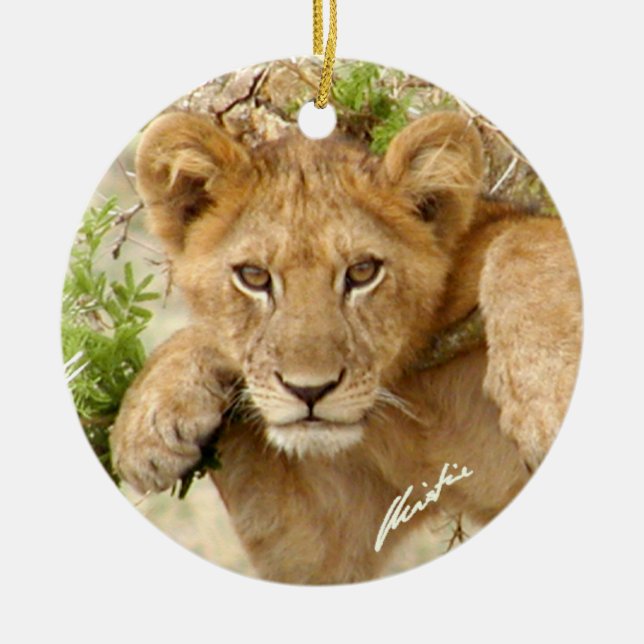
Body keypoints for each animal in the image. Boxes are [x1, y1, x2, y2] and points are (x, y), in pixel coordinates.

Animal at [110, 110, 582, 584]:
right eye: (254, 276)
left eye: (362, 271)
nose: (309, 391)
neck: (415, 399)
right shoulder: (323, 533)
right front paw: (147, 419)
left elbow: (526, 239)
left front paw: (546, 401)